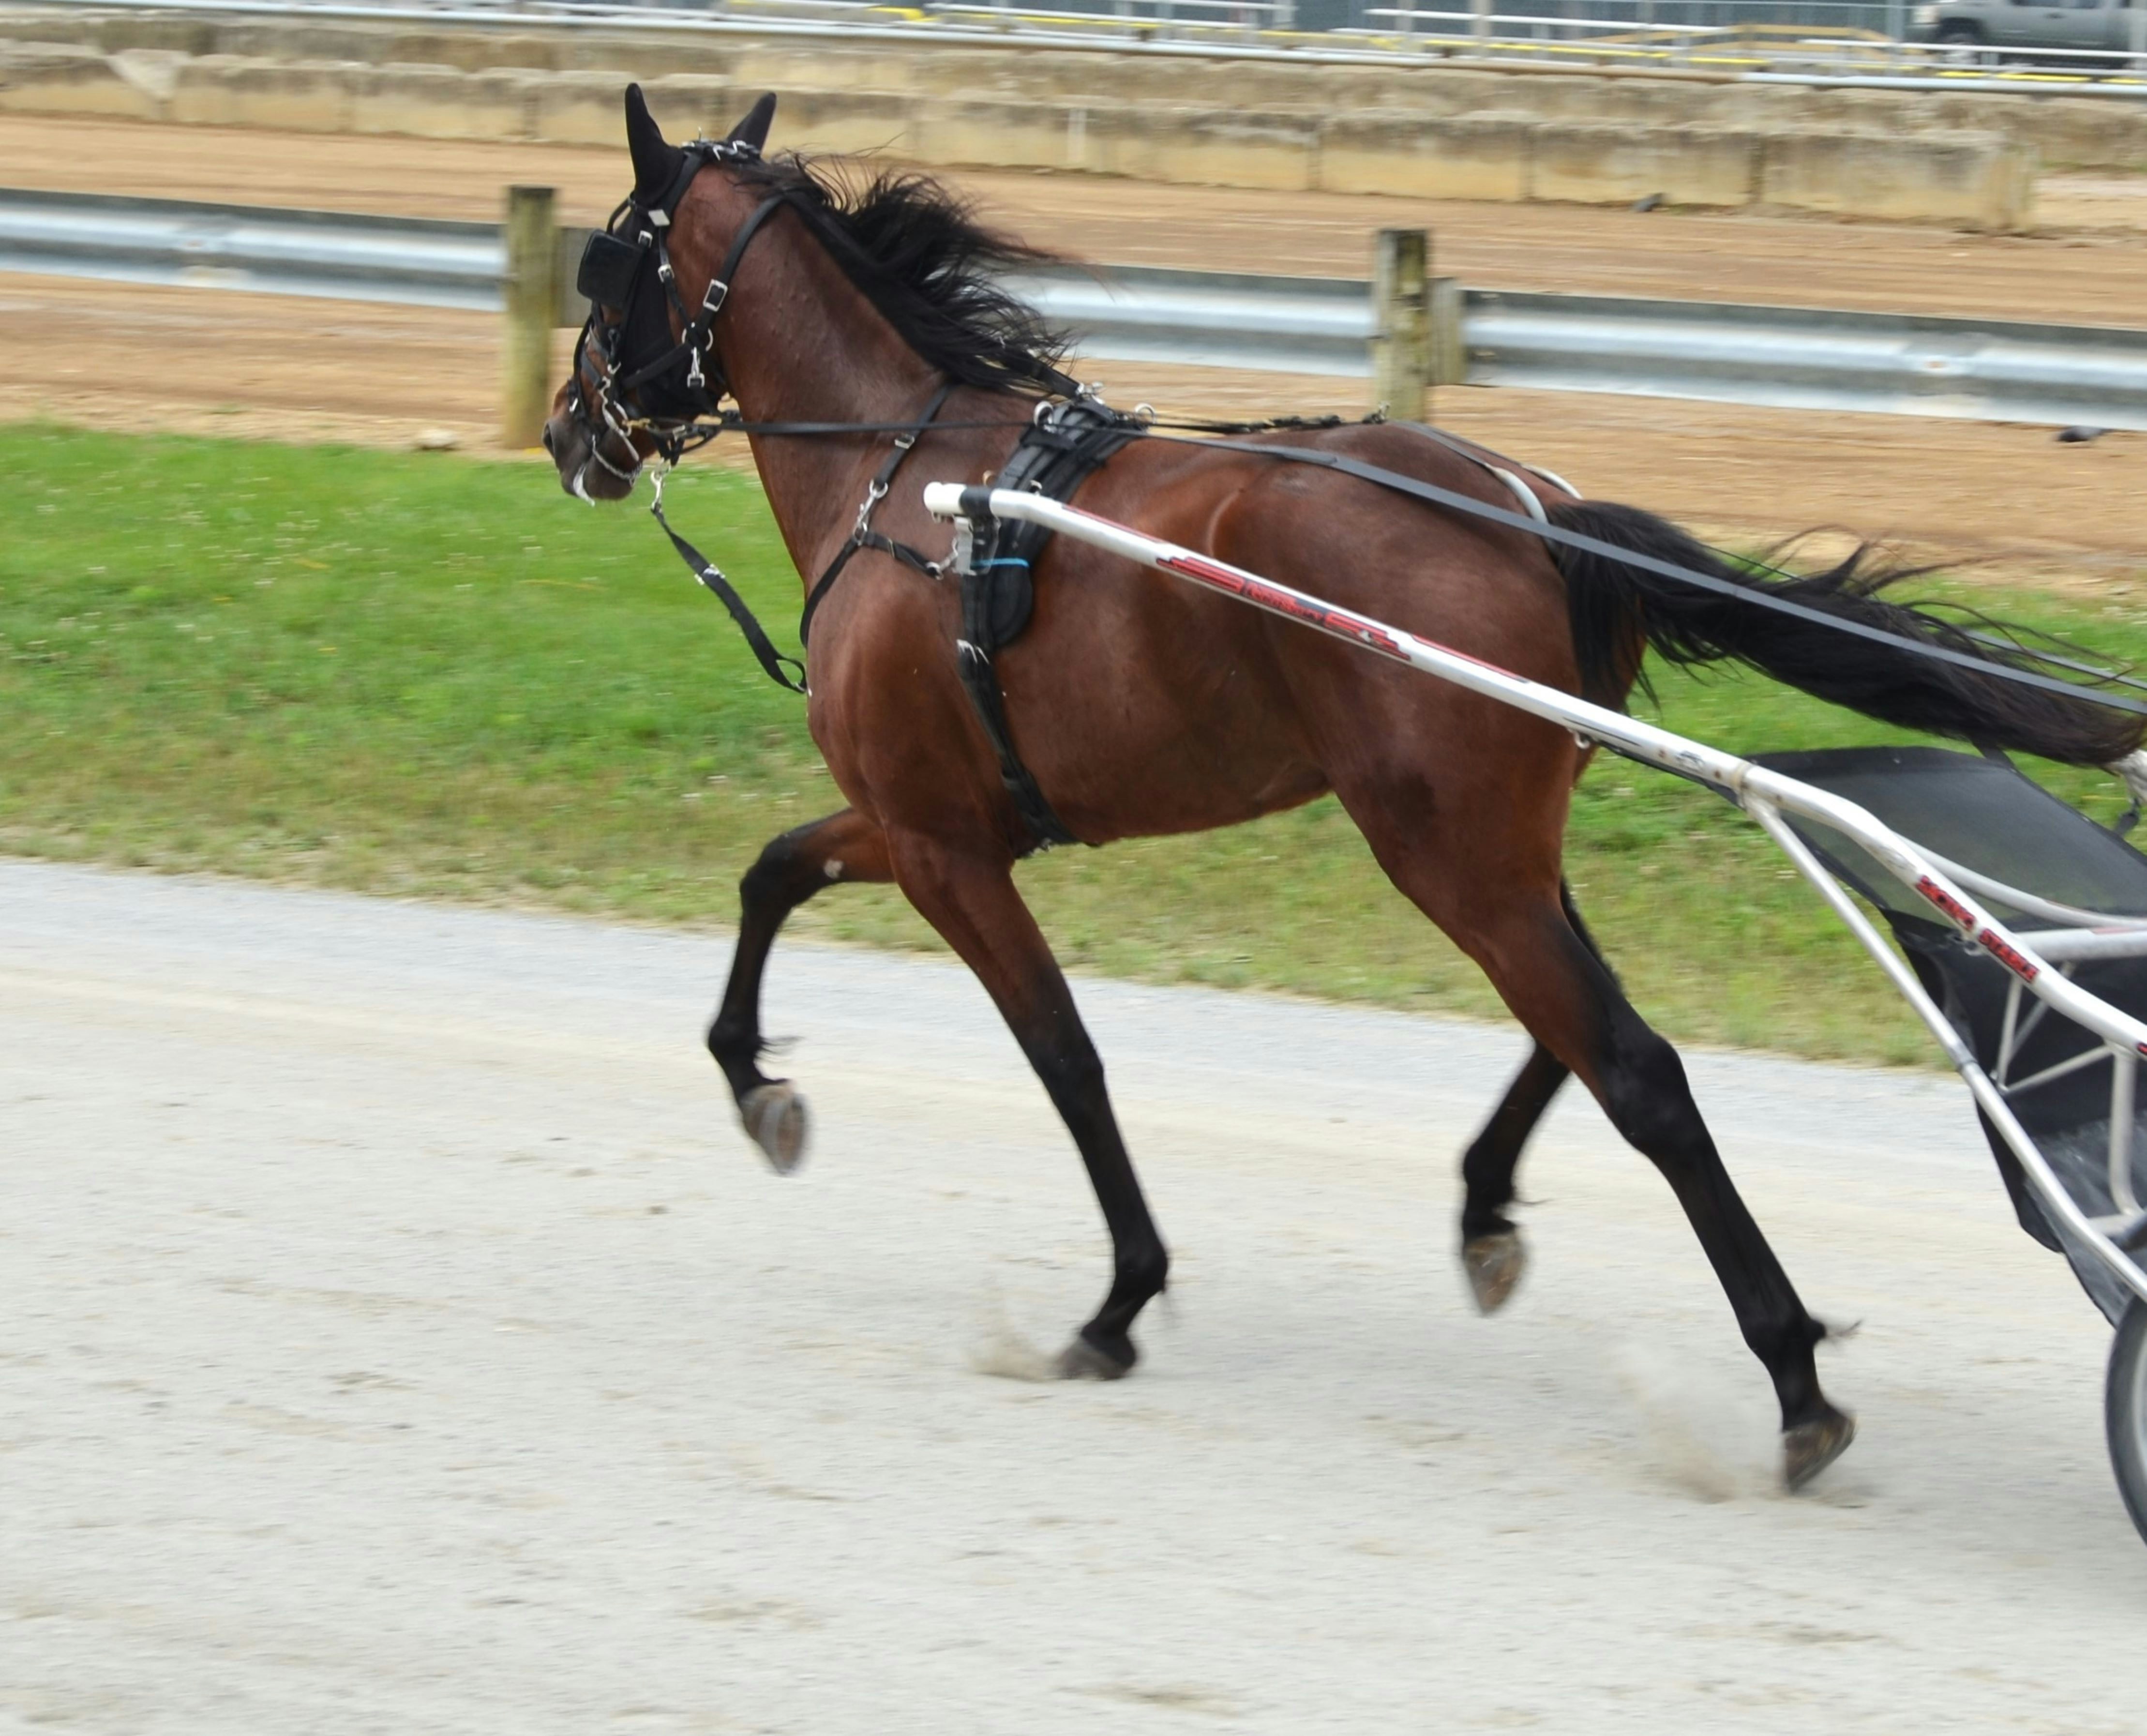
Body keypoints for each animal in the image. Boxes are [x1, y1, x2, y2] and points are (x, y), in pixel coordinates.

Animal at [542, 88, 2144, 1491]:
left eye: (607, 260)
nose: (568, 433)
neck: (913, 476)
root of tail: (1535, 512)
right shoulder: (931, 820)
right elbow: (770, 867)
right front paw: (757, 1079)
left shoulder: (946, 844)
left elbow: (1064, 1058)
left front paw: (1117, 1300)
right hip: (1492, 837)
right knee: (1576, 1028)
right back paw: (1493, 1208)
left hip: (1441, 847)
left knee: (1636, 1067)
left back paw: (1797, 1381)